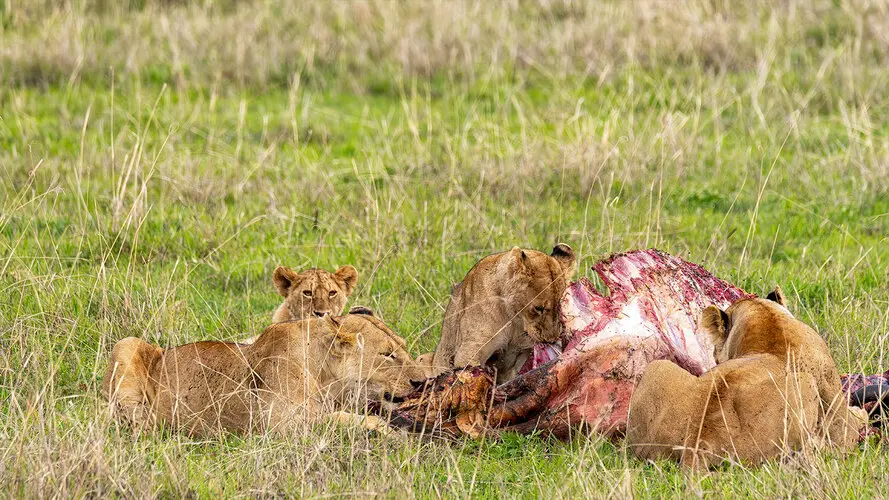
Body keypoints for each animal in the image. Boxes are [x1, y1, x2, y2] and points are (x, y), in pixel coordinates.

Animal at [102, 306, 422, 436]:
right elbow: (345, 420)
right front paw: (388, 432)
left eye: (403, 347)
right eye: (387, 355)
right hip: (126, 344)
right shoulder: (282, 424)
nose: (422, 382)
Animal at [430, 245, 576, 382]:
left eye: (560, 306)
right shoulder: (469, 352)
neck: (514, 319)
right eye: (538, 308)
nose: (552, 339)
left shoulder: (520, 354)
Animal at [624, 290, 860, 468]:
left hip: (657, 367)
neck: (767, 318)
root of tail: (699, 442)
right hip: (805, 385)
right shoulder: (839, 417)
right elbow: (852, 424)